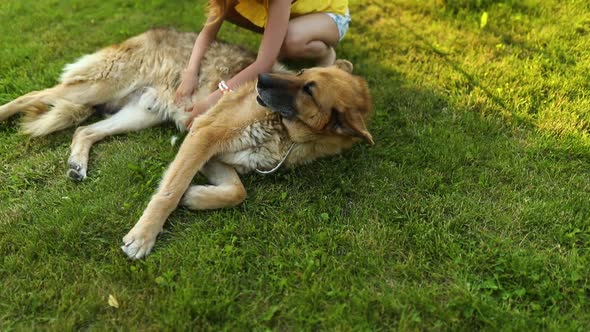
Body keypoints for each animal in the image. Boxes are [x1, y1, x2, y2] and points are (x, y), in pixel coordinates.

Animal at [0, 29, 374, 260]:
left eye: (309, 89)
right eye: (300, 75)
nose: (260, 79)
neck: (285, 133)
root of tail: (154, 31)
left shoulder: (215, 156)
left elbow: (236, 192)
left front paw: (194, 197)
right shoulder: (203, 136)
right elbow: (169, 191)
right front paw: (143, 236)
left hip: (141, 114)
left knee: (85, 131)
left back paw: (78, 163)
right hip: (96, 88)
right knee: (33, 95)